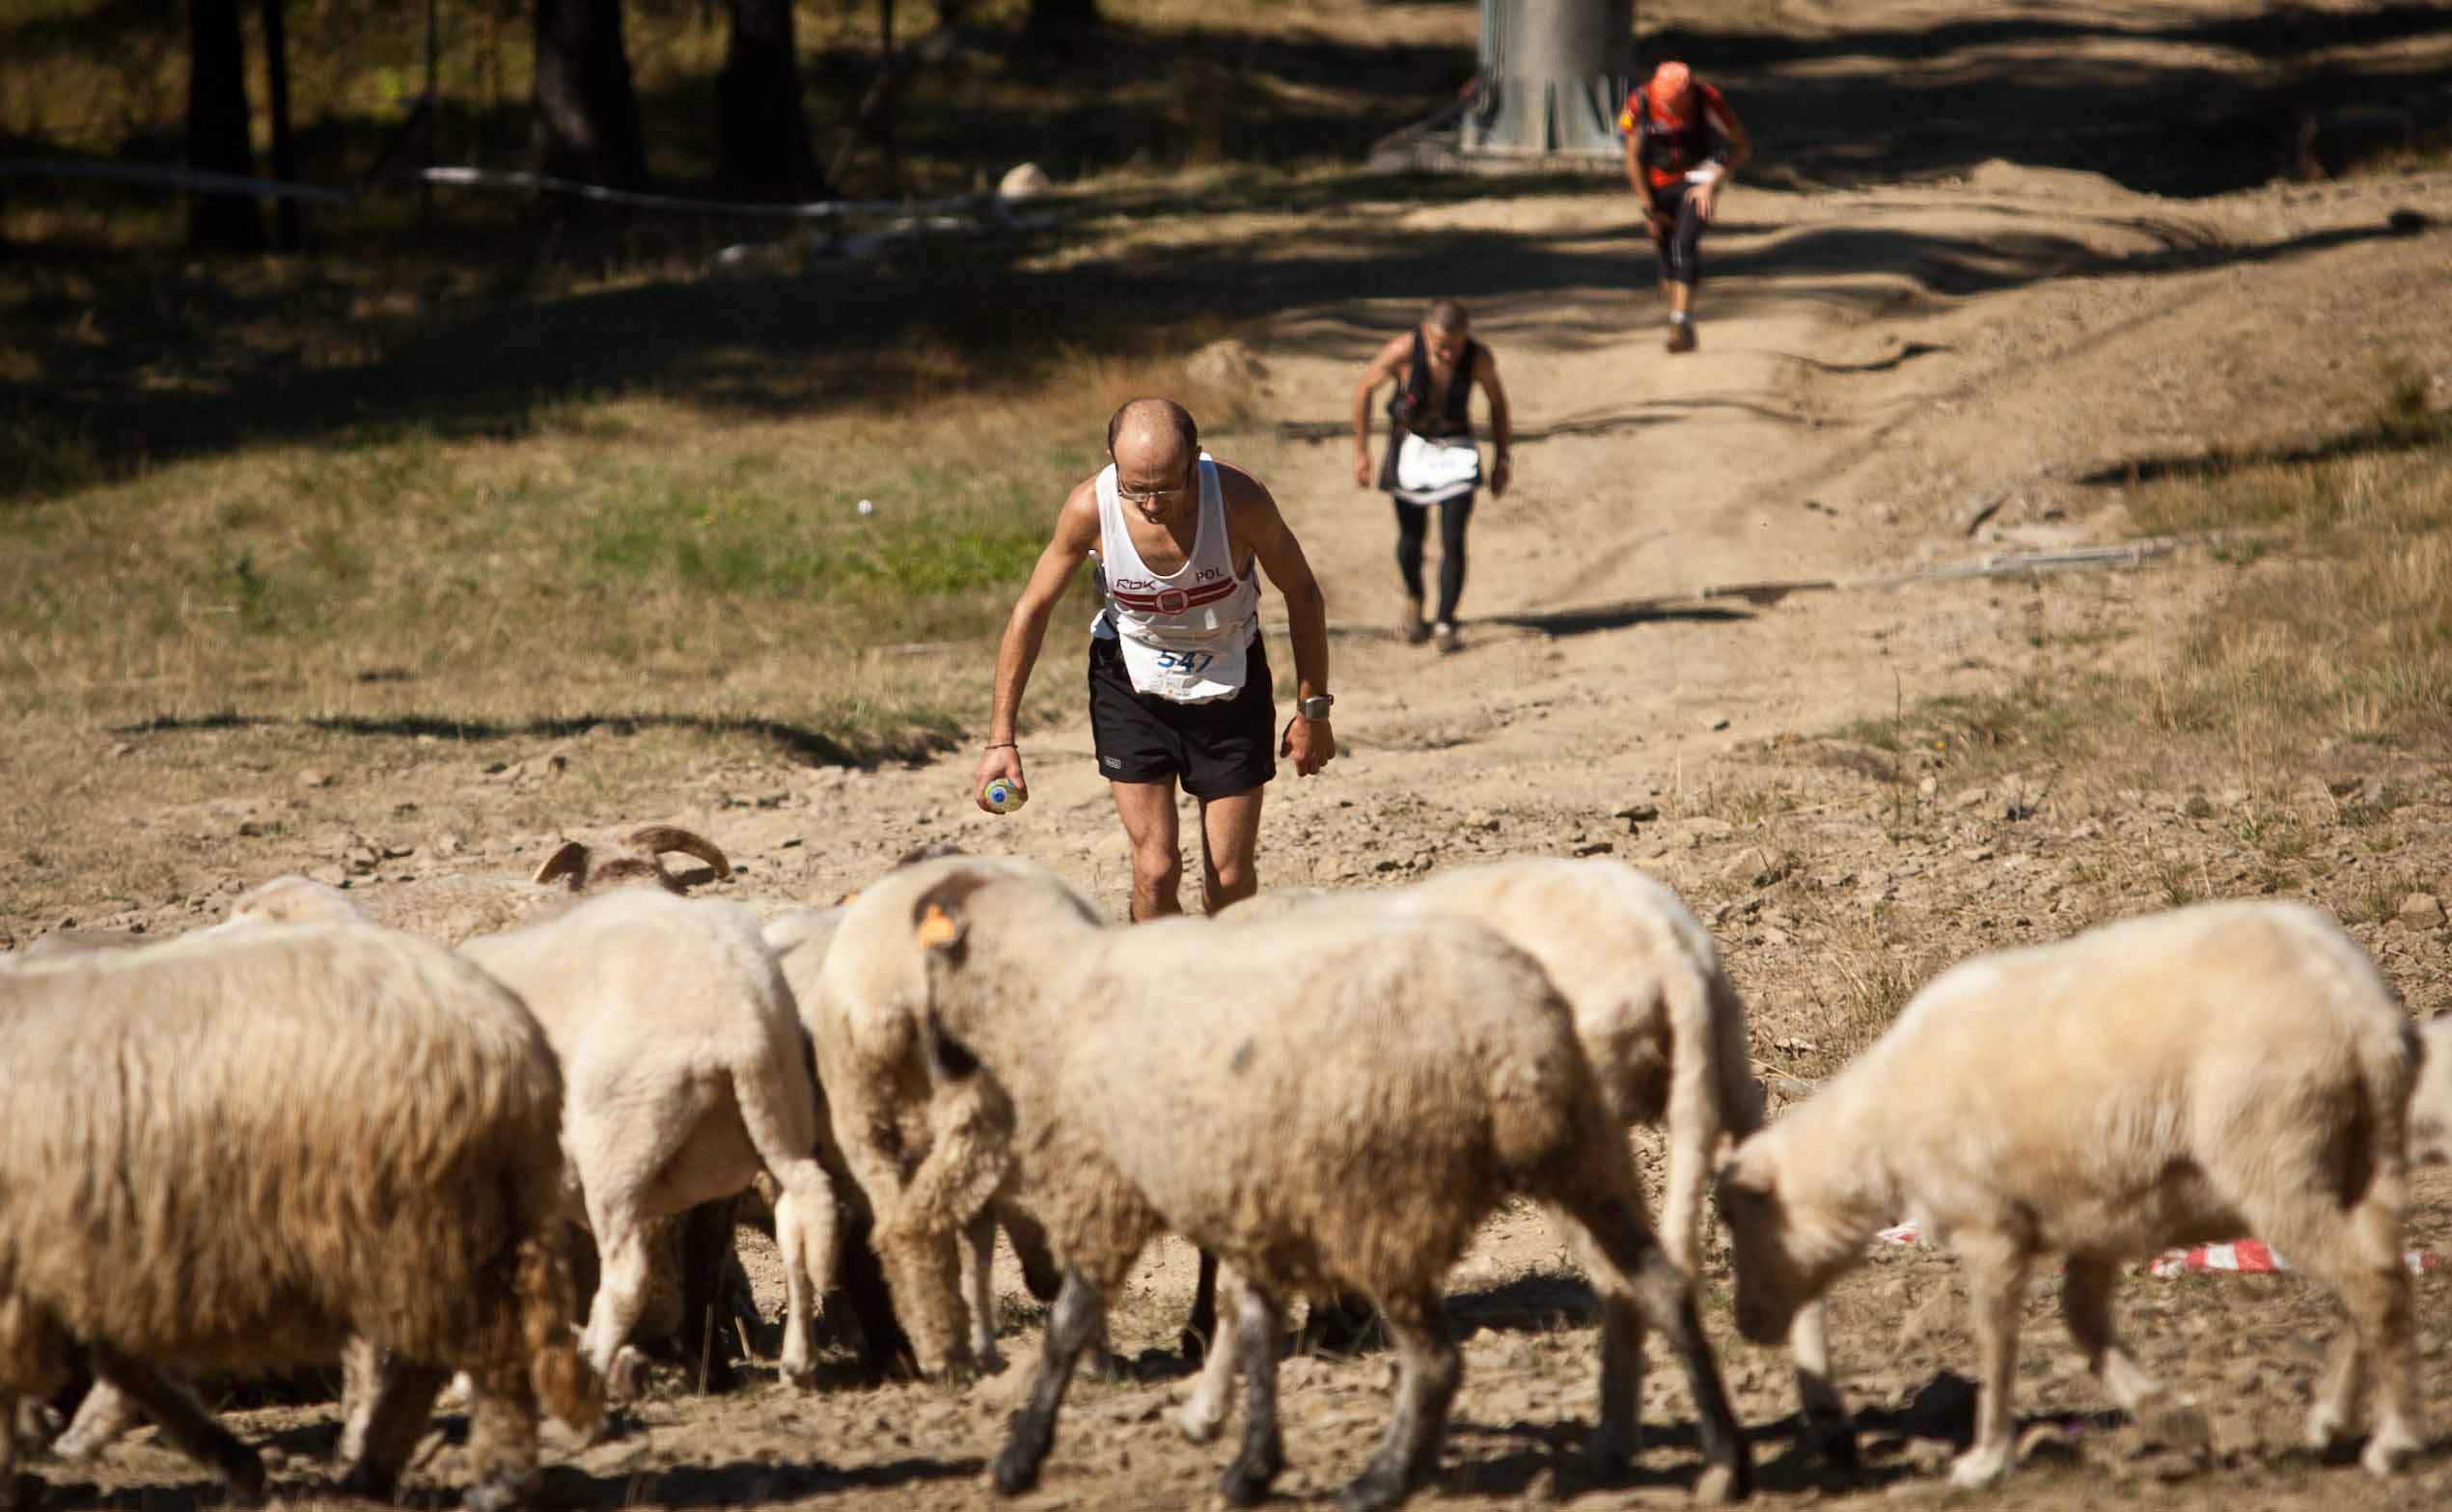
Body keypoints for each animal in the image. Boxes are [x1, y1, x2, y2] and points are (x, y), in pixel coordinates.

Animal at [0, 921, 602, 1510]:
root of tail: (518, 1042)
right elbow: (121, 1363)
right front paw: (232, 1462)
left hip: (419, 1221)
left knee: (487, 1346)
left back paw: (496, 1480)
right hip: (439, 1228)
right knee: (431, 1356)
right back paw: (373, 1467)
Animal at [874, 859, 1753, 1511]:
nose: (940, 1058)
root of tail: (1664, 938)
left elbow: (1174, 1304)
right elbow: (1247, 1298)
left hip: (1533, 1148)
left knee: (1600, 1295)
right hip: (1666, 1113)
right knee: (1680, 1264)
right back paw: (1694, 1447)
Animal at [1715, 899, 2422, 1489]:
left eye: (1740, 1223)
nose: (1746, 1323)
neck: (1875, 1130)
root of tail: (2361, 1012)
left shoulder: (1989, 1224)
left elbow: (1996, 1340)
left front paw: (1986, 1456)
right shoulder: (2099, 1214)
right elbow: (2081, 1321)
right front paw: (2168, 1416)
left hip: (2274, 1151)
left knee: (2370, 1280)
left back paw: (2392, 1440)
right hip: (2361, 1159)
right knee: (2374, 1274)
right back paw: (2332, 1420)